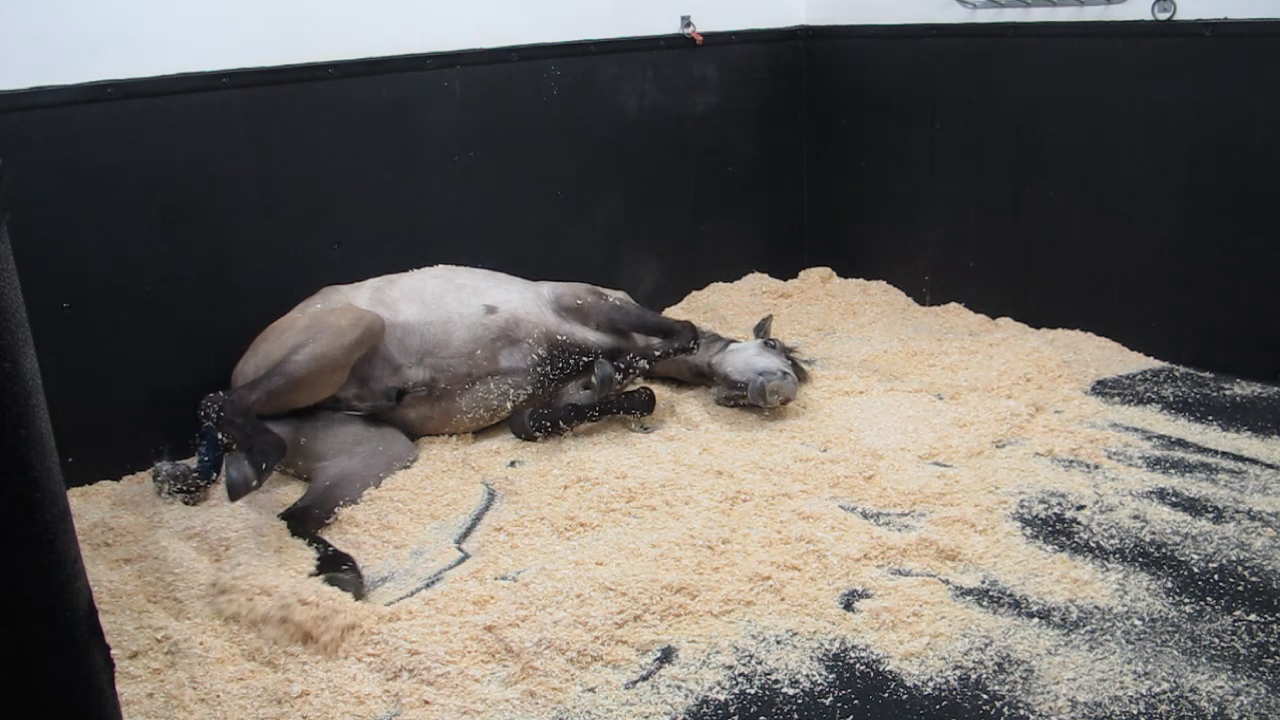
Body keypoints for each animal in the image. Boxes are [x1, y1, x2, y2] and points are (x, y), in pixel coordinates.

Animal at [171, 262, 808, 594]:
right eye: (777, 346)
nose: (781, 389)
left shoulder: (538, 402)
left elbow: (577, 410)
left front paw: (616, 384)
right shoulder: (591, 302)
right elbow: (678, 333)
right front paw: (622, 366)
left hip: (377, 453)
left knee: (294, 516)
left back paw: (340, 569)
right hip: (348, 329)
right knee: (221, 400)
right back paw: (250, 462)